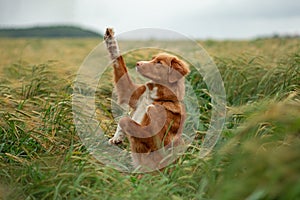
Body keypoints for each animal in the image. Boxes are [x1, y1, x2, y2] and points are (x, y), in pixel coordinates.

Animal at [104, 28, 189, 171]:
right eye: (152, 59)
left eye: (159, 63)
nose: (138, 63)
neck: (154, 97)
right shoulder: (130, 92)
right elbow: (118, 60)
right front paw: (110, 37)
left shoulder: (156, 142)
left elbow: (125, 119)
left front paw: (119, 135)